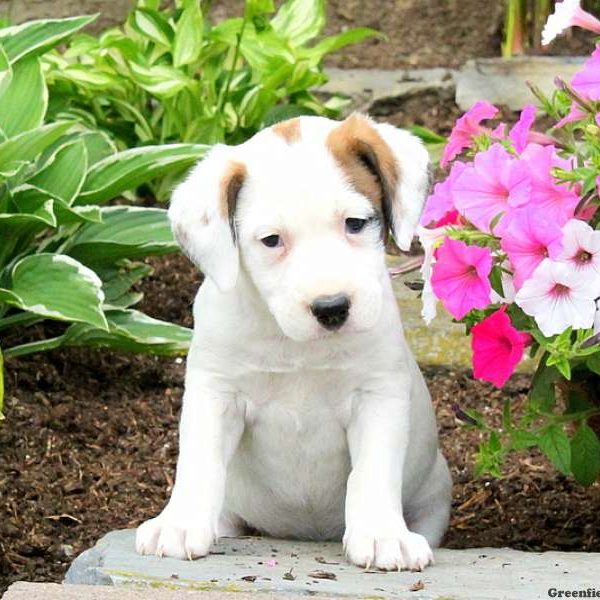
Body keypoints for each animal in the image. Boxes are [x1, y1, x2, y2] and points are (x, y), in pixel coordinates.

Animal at [136, 113, 450, 572]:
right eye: (271, 240)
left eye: (355, 223)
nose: (332, 308)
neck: (299, 348)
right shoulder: (216, 393)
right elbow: (199, 461)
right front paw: (178, 523)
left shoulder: (378, 396)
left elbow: (373, 470)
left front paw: (381, 534)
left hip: (434, 496)